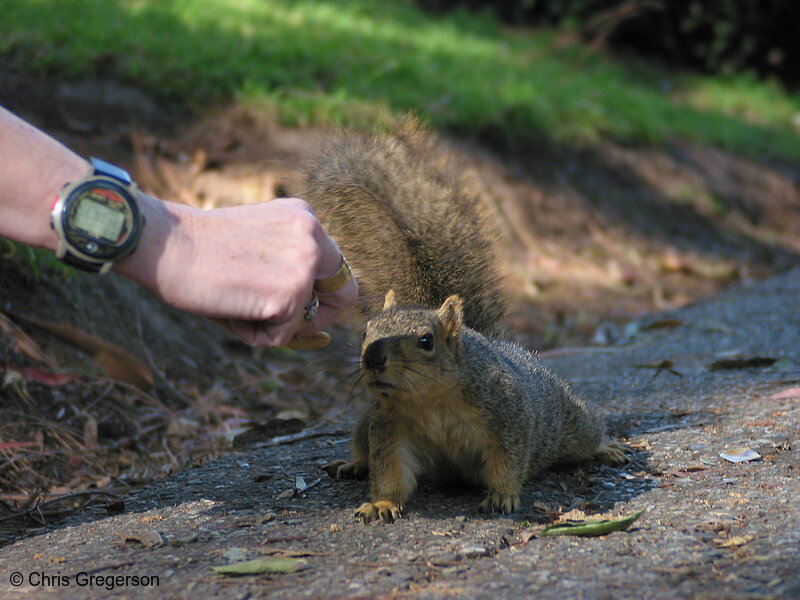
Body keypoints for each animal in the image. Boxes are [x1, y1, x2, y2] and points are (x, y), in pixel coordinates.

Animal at [302, 124, 632, 524]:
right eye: (366, 332)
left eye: (426, 341)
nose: (373, 358)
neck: (430, 401)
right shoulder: (390, 428)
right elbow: (390, 471)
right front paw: (381, 503)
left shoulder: (509, 415)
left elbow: (508, 460)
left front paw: (502, 496)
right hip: (365, 423)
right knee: (362, 448)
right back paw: (352, 464)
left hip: (570, 422)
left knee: (586, 435)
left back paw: (606, 447)